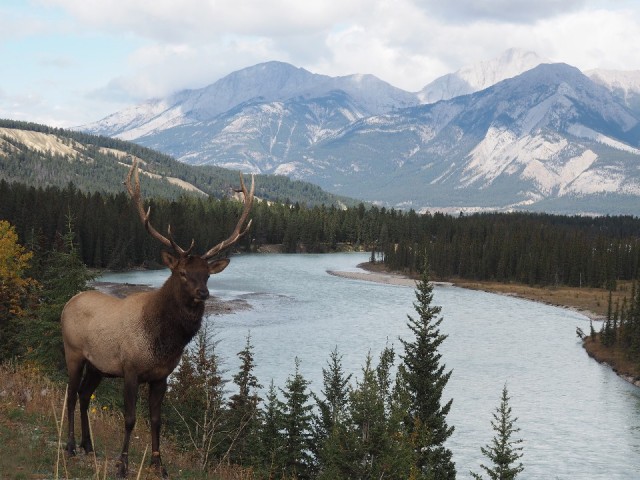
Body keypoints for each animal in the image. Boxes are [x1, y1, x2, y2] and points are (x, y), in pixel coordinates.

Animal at [61, 159, 254, 478]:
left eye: (208, 274)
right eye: (183, 273)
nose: (203, 293)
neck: (163, 341)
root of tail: (67, 304)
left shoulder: (162, 376)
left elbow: (156, 420)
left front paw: (158, 464)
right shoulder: (129, 368)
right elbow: (129, 418)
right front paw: (123, 464)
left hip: (98, 366)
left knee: (86, 395)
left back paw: (89, 445)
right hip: (73, 352)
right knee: (72, 394)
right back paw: (71, 446)